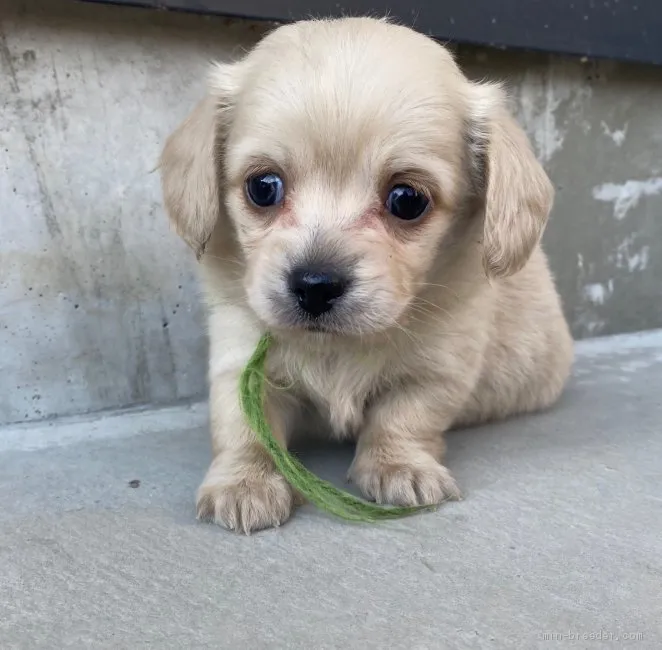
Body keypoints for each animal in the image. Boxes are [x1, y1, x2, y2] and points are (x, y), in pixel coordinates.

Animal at [160, 16, 576, 532]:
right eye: (263, 187)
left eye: (407, 199)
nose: (315, 286)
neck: (337, 348)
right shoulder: (238, 359)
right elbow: (242, 425)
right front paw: (245, 482)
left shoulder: (438, 372)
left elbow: (403, 416)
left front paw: (399, 467)